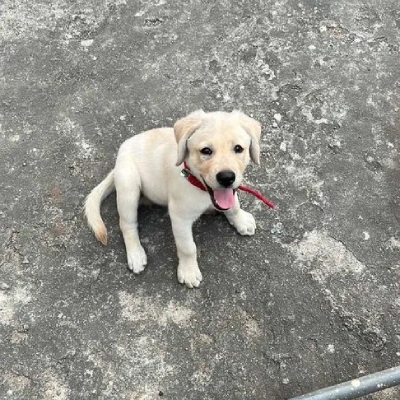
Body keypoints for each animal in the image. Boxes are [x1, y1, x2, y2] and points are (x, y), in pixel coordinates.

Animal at [83, 111, 262, 290]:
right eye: (206, 151)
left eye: (238, 149)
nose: (227, 178)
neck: (198, 185)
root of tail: (117, 162)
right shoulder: (179, 218)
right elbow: (188, 247)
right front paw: (189, 271)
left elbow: (234, 206)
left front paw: (241, 220)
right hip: (128, 185)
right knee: (127, 224)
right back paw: (136, 254)